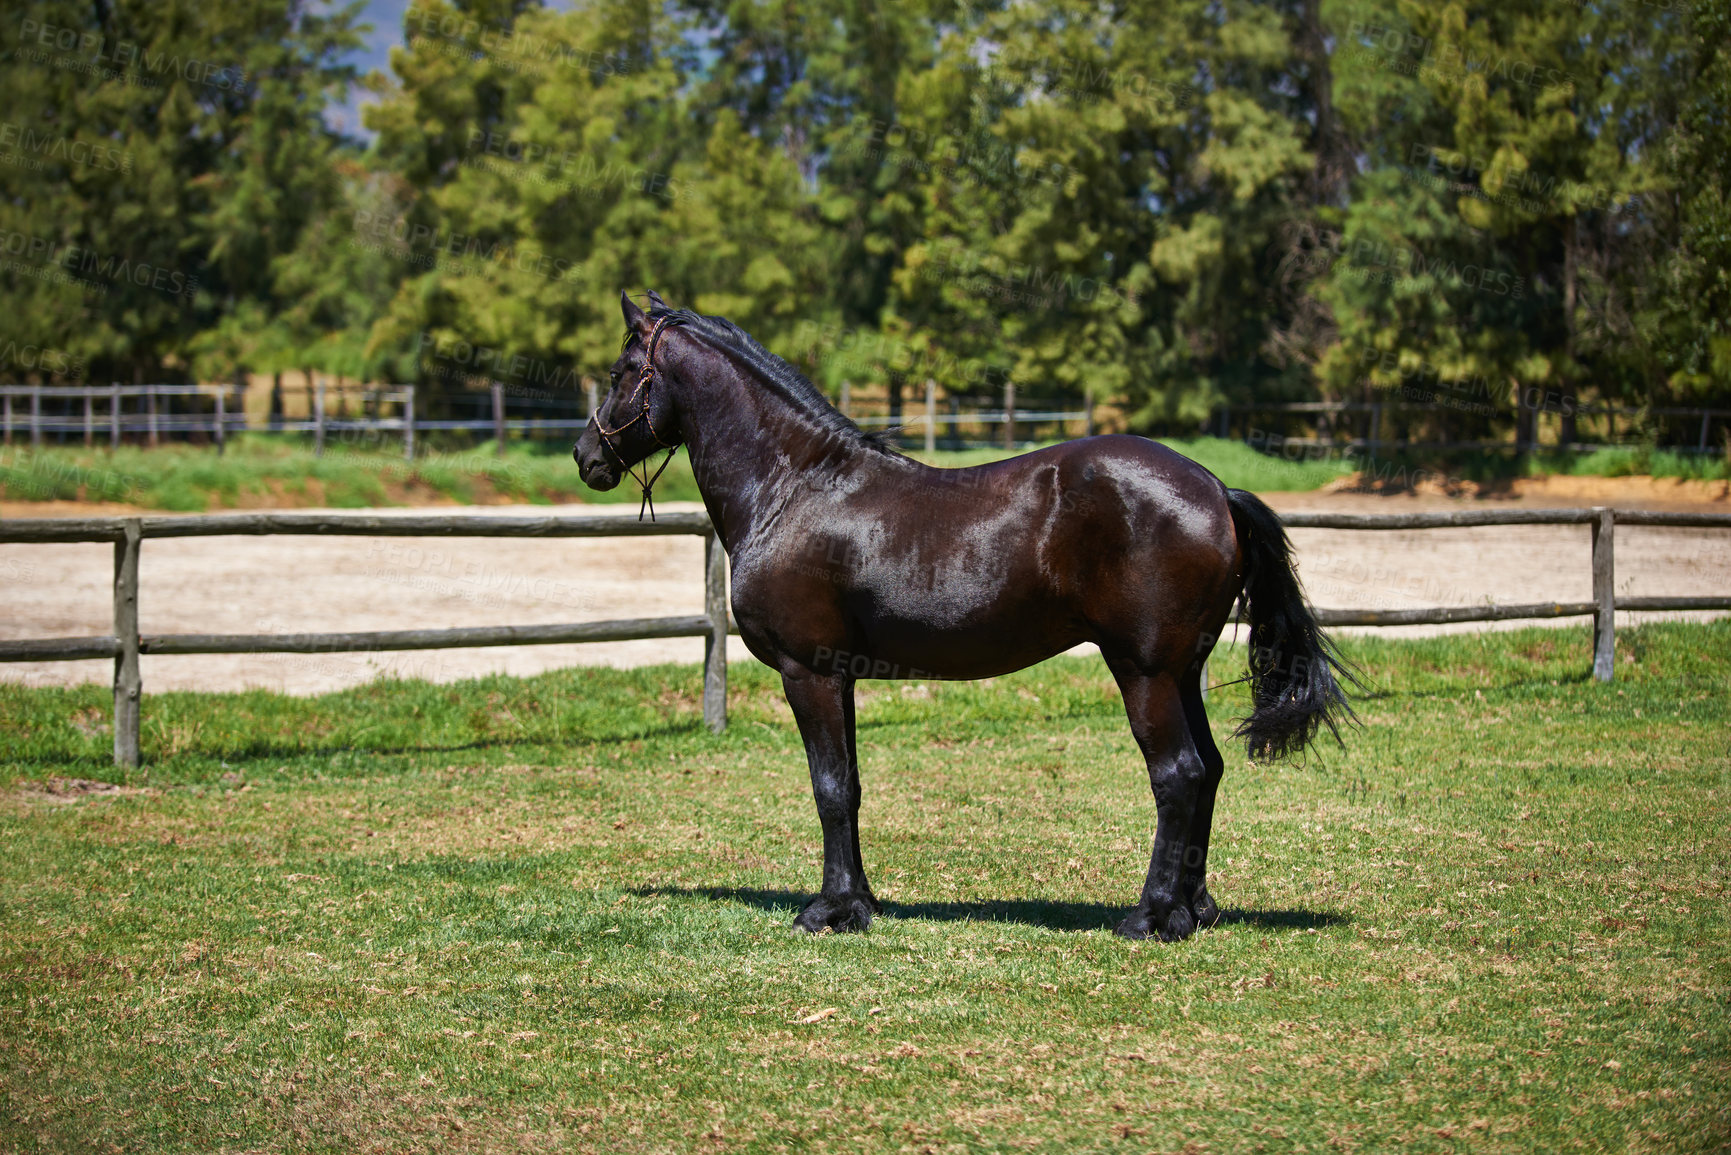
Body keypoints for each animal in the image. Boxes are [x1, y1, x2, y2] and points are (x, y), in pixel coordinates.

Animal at [574, 292, 1354, 941]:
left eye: (622, 370)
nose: (585, 457)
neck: (795, 487)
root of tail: (1216, 489)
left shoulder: (808, 672)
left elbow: (828, 788)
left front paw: (828, 910)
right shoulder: (841, 676)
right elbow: (850, 786)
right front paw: (860, 902)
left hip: (1144, 672)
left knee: (1179, 774)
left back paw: (1151, 917)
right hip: (1181, 672)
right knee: (1211, 769)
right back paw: (1196, 909)